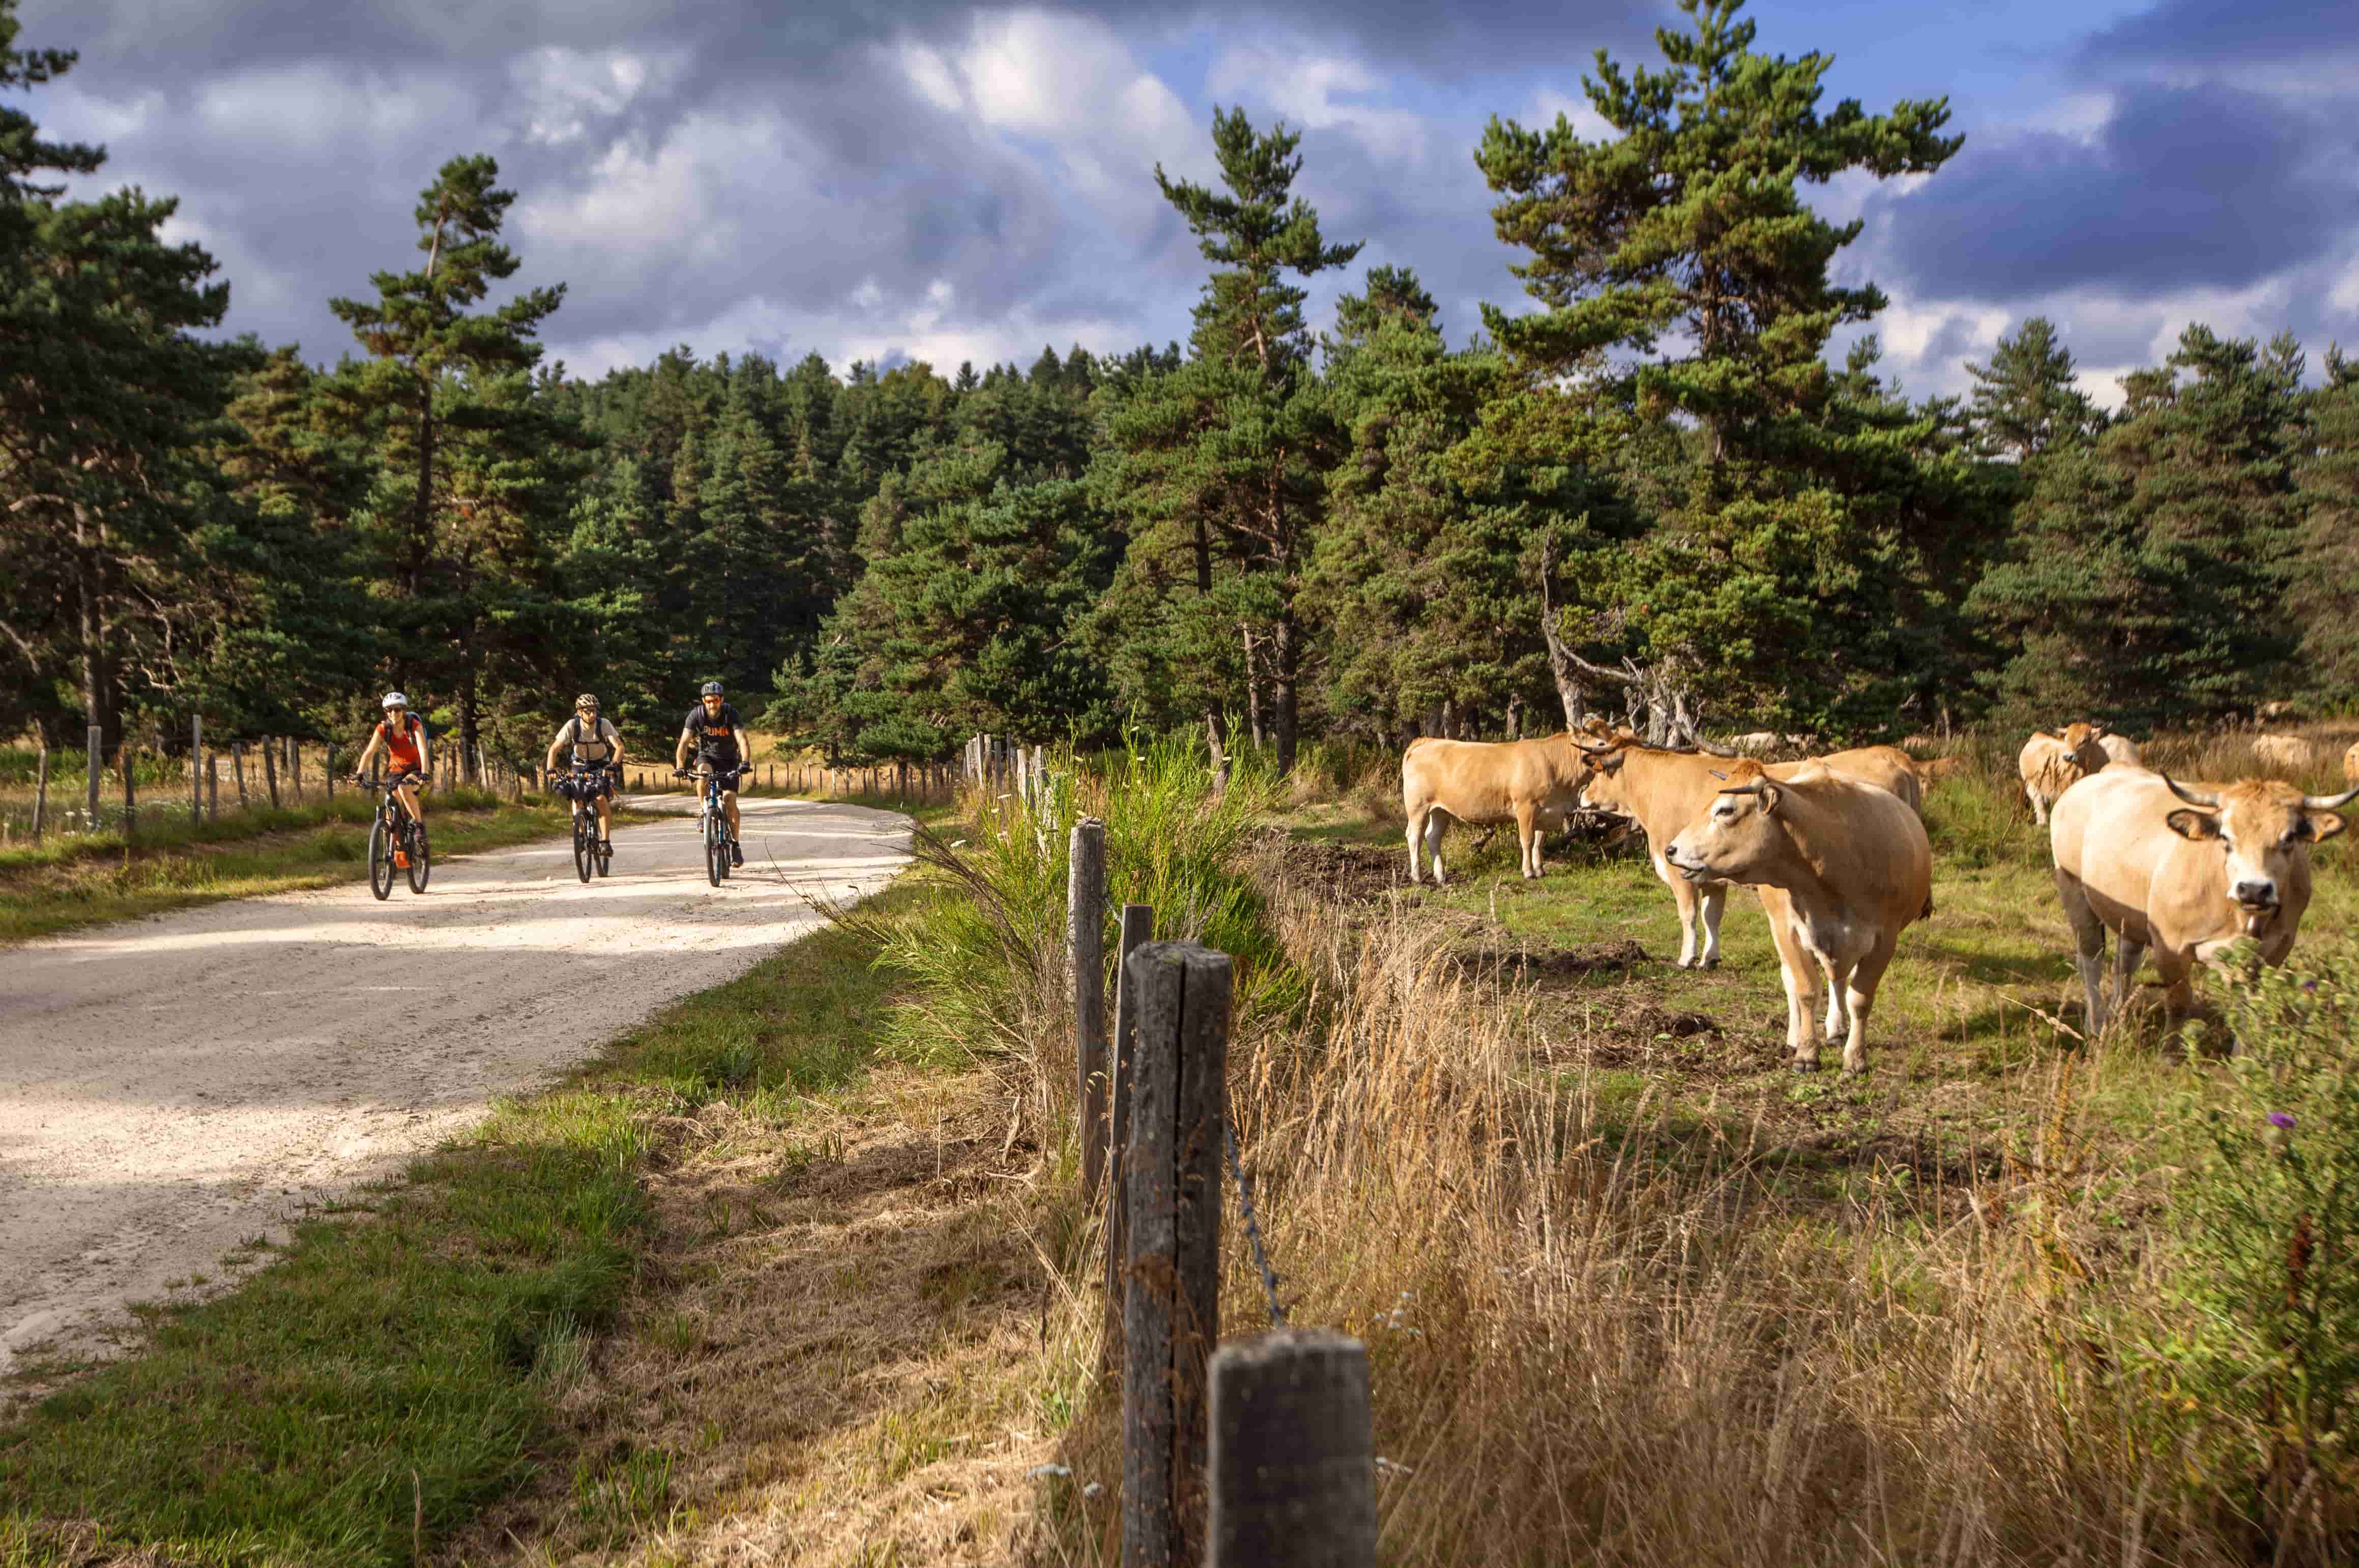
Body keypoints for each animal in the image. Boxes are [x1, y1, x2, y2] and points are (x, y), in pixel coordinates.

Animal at [1396, 735, 1604, 881]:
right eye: (1601, 743)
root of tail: (1428, 741)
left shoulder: (1546, 811)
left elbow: (1539, 841)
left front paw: (1540, 870)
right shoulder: (1526, 807)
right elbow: (1528, 841)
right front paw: (1528, 872)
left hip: (1441, 810)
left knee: (1433, 836)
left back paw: (1441, 876)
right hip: (1418, 806)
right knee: (1414, 836)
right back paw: (1417, 877)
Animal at [1566, 735, 1915, 966]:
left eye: (1599, 769)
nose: (1583, 796)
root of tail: (1893, 756)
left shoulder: (1682, 874)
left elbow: (1688, 915)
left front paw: (1687, 958)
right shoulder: (1710, 876)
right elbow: (1711, 917)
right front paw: (1710, 958)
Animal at [1661, 759, 1934, 1075]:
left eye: (1726, 810)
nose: (1671, 849)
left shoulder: (1884, 940)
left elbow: (1860, 999)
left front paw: (1856, 1059)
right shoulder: (1789, 931)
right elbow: (1806, 990)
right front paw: (1806, 1053)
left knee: (1839, 981)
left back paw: (1837, 1029)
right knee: (1795, 981)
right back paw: (1796, 1036)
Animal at [2047, 768, 2359, 1037]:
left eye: (2290, 837)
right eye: (2225, 837)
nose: (2254, 890)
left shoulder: (2275, 951)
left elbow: (2248, 1010)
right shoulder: (2170, 946)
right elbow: (2179, 1001)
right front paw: (2169, 1056)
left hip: (2130, 915)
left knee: (2124, 964)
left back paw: (2116, 1015)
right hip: (2074, 892)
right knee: (2091, 958)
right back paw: (2096, 1024)